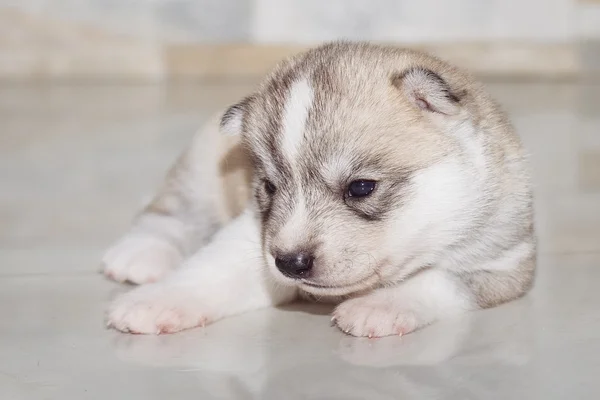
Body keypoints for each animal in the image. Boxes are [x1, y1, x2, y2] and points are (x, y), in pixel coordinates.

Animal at [103, 41, 536, 338]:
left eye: (360, 187)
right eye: (269, 186)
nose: (289, 263)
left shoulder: (501, 263)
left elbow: (434, 278)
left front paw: (379, 306)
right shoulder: (251, 237)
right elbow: (210, 271)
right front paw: (156, 301)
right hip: (201, 169)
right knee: (168, 211)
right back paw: (141, 254)